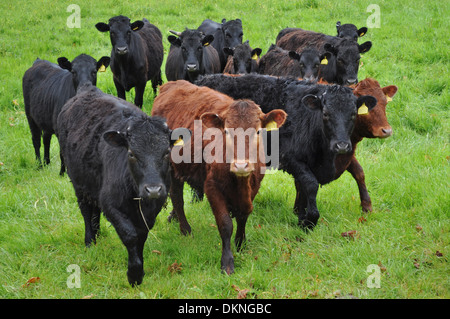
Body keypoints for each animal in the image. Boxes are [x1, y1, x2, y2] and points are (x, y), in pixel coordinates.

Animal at [56, 83, 176, 288]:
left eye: (167, 152)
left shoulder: (152, 209)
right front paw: (134, 274)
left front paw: (140, 268)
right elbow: (130, 235)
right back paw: (90, 241)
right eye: (131, 153)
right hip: (79, 184)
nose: (153, 189)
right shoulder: (110, 205)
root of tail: (87, 89)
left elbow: (141, 235)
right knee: (87, 212)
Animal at [151, 80, 284, 276]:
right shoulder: (212, 187)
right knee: (177, 197)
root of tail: (172, 84)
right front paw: (227, 262)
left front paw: (241, 244)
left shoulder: (254, 187)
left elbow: (243, 216)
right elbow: (225, 224)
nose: (241, 165)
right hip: (171, 167)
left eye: (258, 132)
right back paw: (185, 230)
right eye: (226, 132)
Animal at [197, 74, 376, 229]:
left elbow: (359, 172)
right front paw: (309, 220)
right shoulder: (290, 158)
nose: (341, 145)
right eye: (325, 114)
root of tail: (204, 78)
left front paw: (367, 207)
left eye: (353, 114)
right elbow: (311, 184)